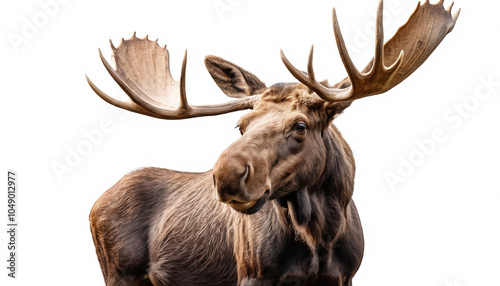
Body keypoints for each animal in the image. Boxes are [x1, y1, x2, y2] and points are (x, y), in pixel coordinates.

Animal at [87, 1, 460, 284]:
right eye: (240, 126)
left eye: (300, 126)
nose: (226, 176)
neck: (321, 236)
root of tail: (95, 203)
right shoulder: (254, 274)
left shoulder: (346, 276)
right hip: (119, 272)